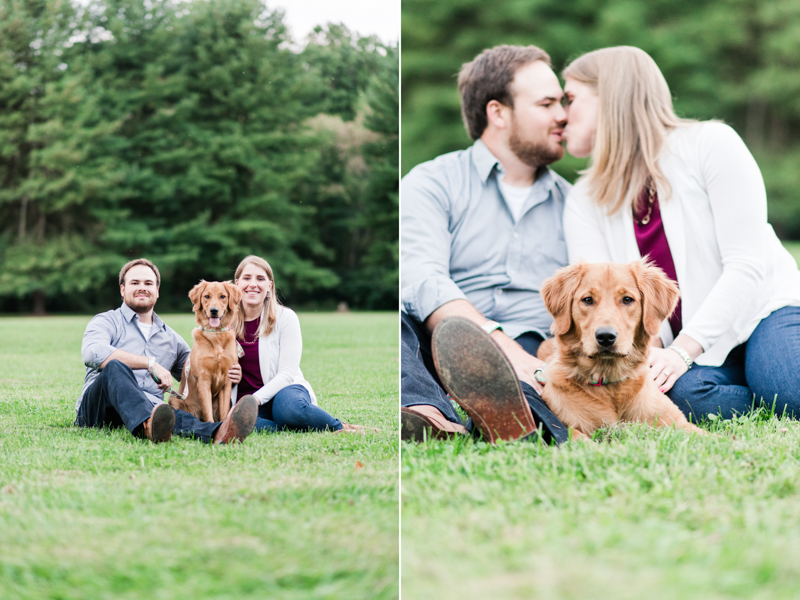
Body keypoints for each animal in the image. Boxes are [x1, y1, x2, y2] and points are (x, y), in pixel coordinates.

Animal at [169, 280, 241, 422]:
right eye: (207, 296)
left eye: (223, 296)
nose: (214, 311)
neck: (215, 334)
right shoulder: (203, 379)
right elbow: (207, 411)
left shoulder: (227, 380)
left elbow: (224, 412)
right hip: (174, 399)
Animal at [536, 260, 700, 438]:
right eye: (588, 300)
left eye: (627, 299)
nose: (606, 336)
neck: (610, 384)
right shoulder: (568, 425)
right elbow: (578, 439)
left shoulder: (679, 423)